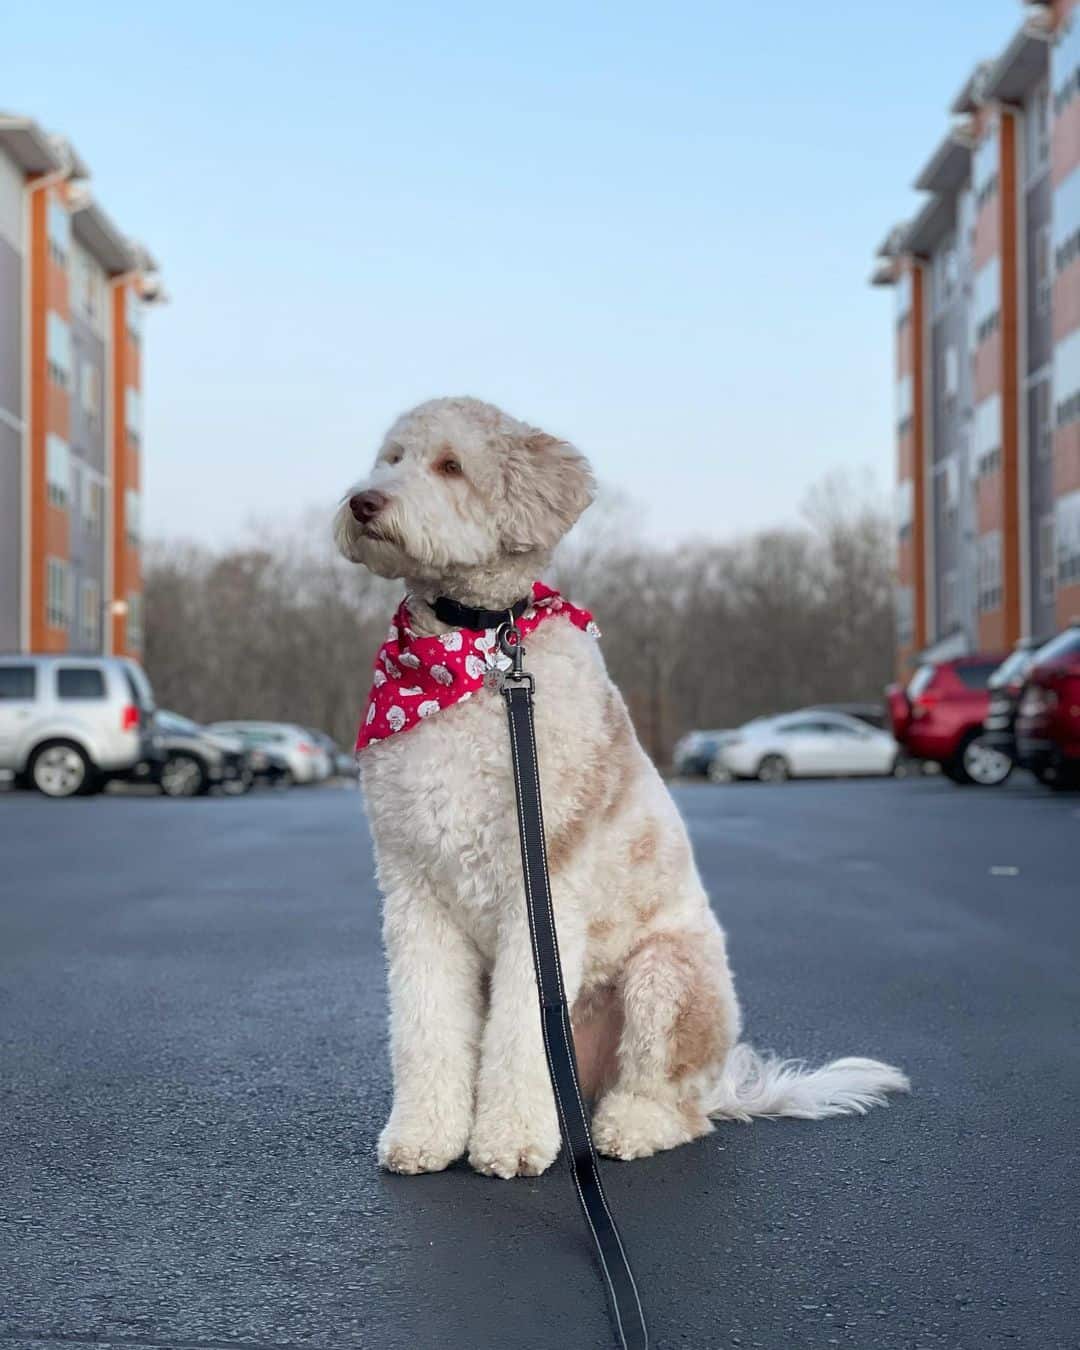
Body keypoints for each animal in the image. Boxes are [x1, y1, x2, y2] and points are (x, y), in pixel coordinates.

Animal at [333, 394, 907, 1177]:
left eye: (449, 465)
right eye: (389, 458)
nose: (363, 502)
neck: (475, 651)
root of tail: (721, 1083)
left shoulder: (544, 885)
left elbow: (521, 1030)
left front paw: (510, 1139)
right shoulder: (414, 887)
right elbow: (425, 1023)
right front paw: (425, 1134)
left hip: (667, 977)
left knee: (673, 1105)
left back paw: (629, 1126)